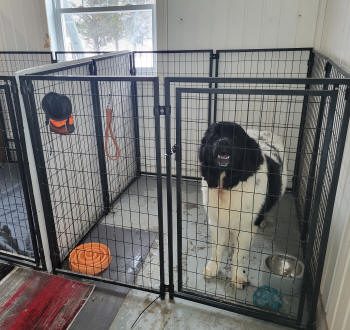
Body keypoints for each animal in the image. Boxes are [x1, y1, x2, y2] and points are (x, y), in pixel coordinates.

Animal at [200, 122, 288, 288]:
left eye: (235, 137)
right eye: (214, 135)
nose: (223, 141)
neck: (227, 186)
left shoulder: (247, 227)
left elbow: (239, 254)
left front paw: (237, 275)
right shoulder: (217, 221)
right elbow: (217, 248)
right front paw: (212, 268)